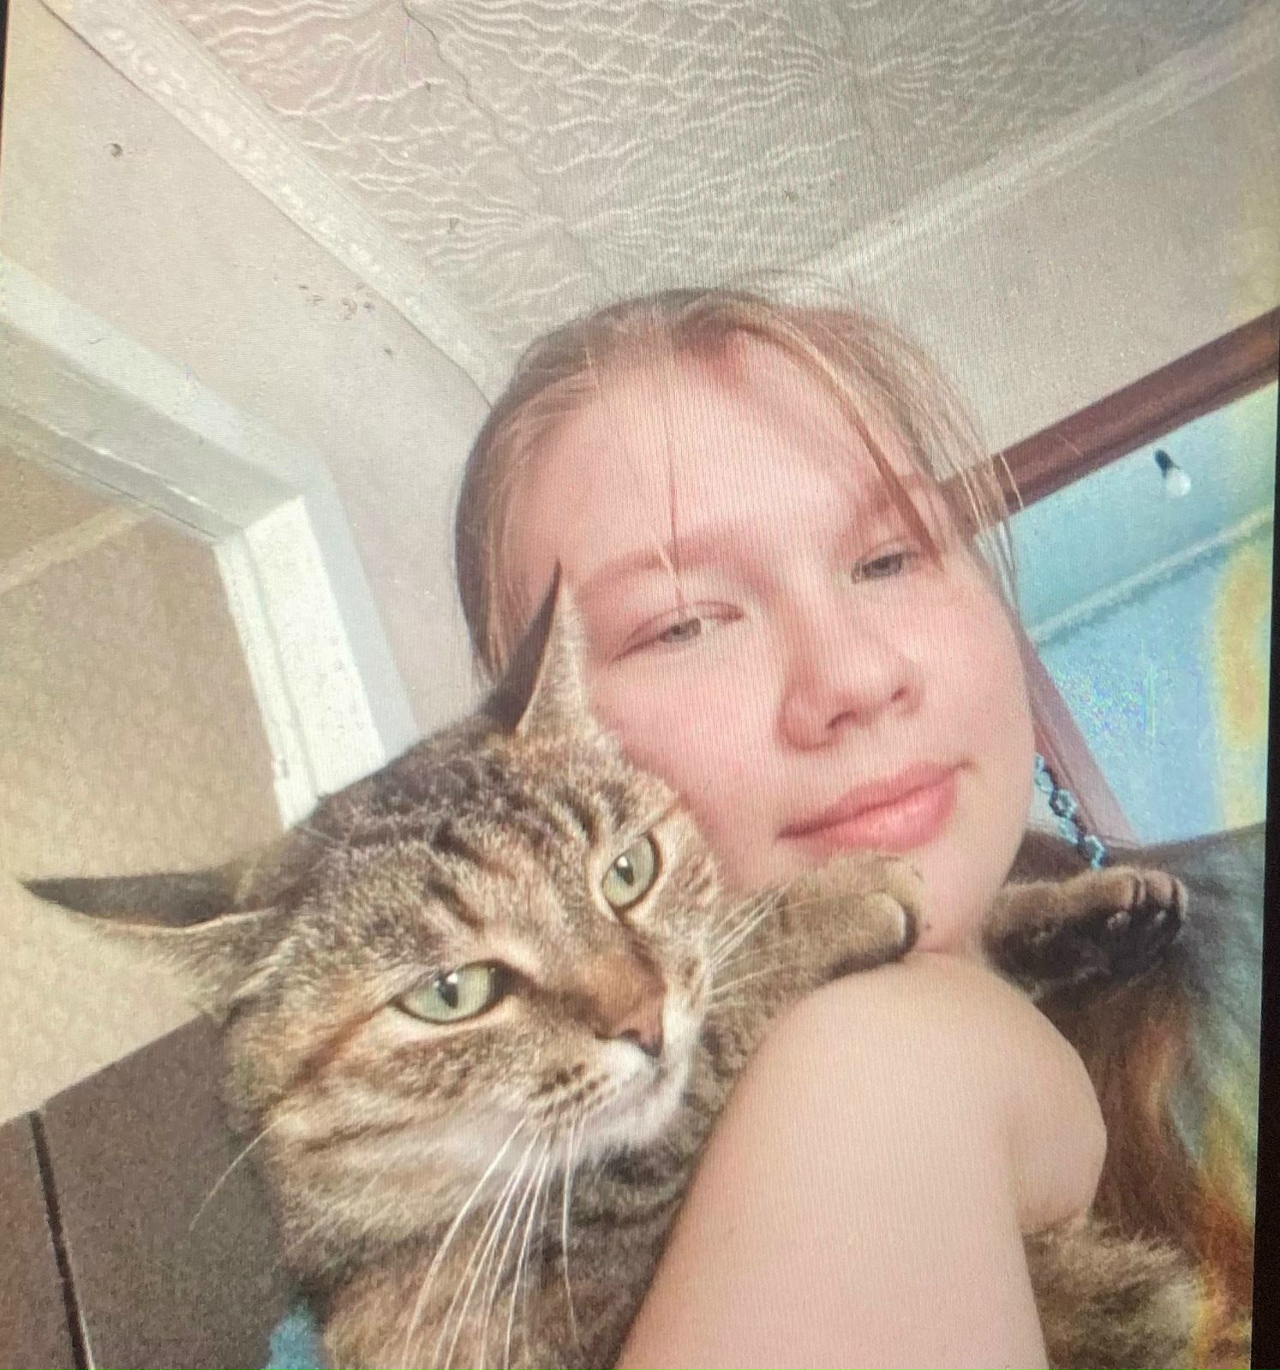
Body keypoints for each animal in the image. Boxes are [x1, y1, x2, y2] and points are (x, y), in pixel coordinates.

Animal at [28, 581, 1208, 1370]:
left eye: (627, 871)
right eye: (449, 994)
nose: (643, 1017)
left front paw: (1080, 909)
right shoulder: (560, 1326)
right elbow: (683, 1082)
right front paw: (827, 906)